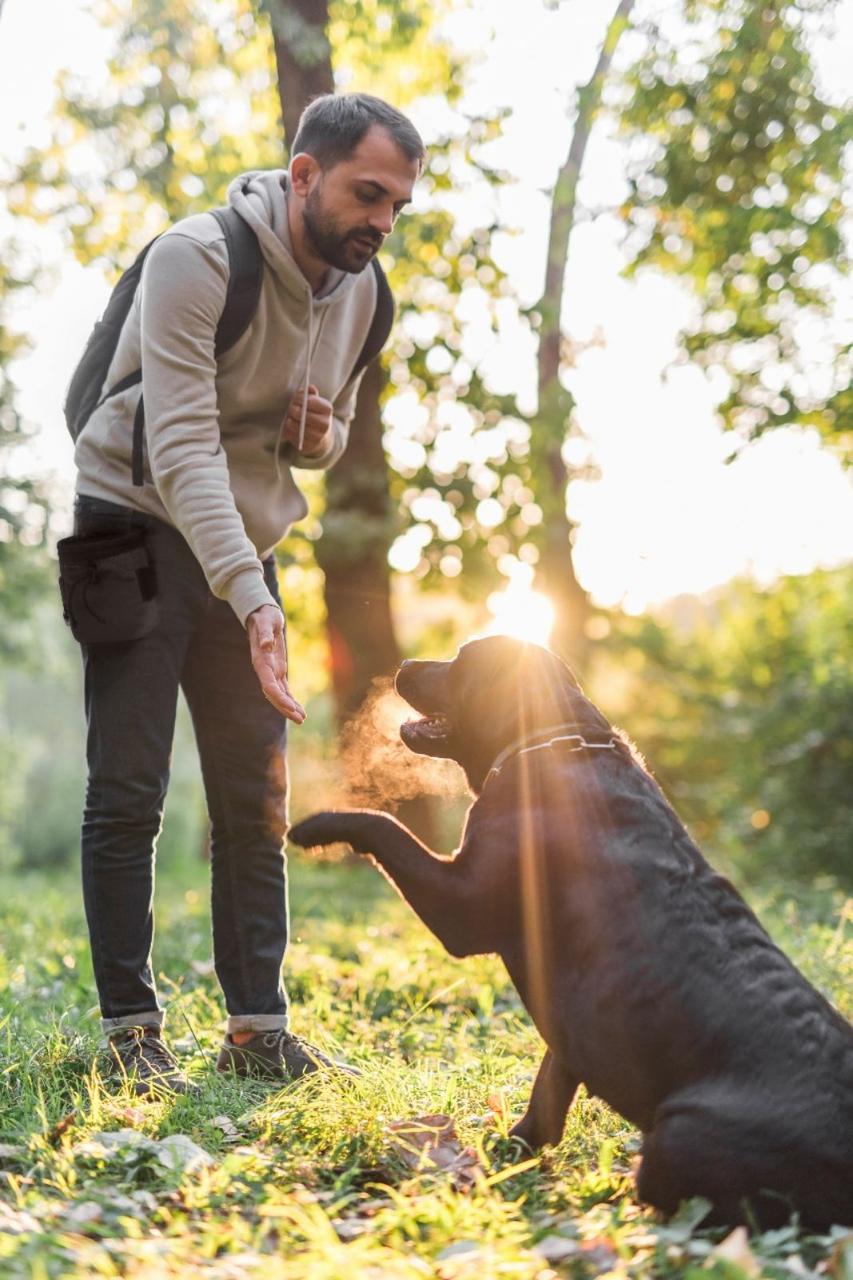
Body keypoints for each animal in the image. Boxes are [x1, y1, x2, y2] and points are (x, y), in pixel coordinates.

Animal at [290, 640, 850, 1228]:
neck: (552, 738)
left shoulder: (462, 907)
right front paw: (512, 1150)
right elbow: (548, 1089)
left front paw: (319, 824)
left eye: (462, 660)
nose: (405, 665)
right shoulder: (571, 1014)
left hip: (678, 1134)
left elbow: (385, 826)